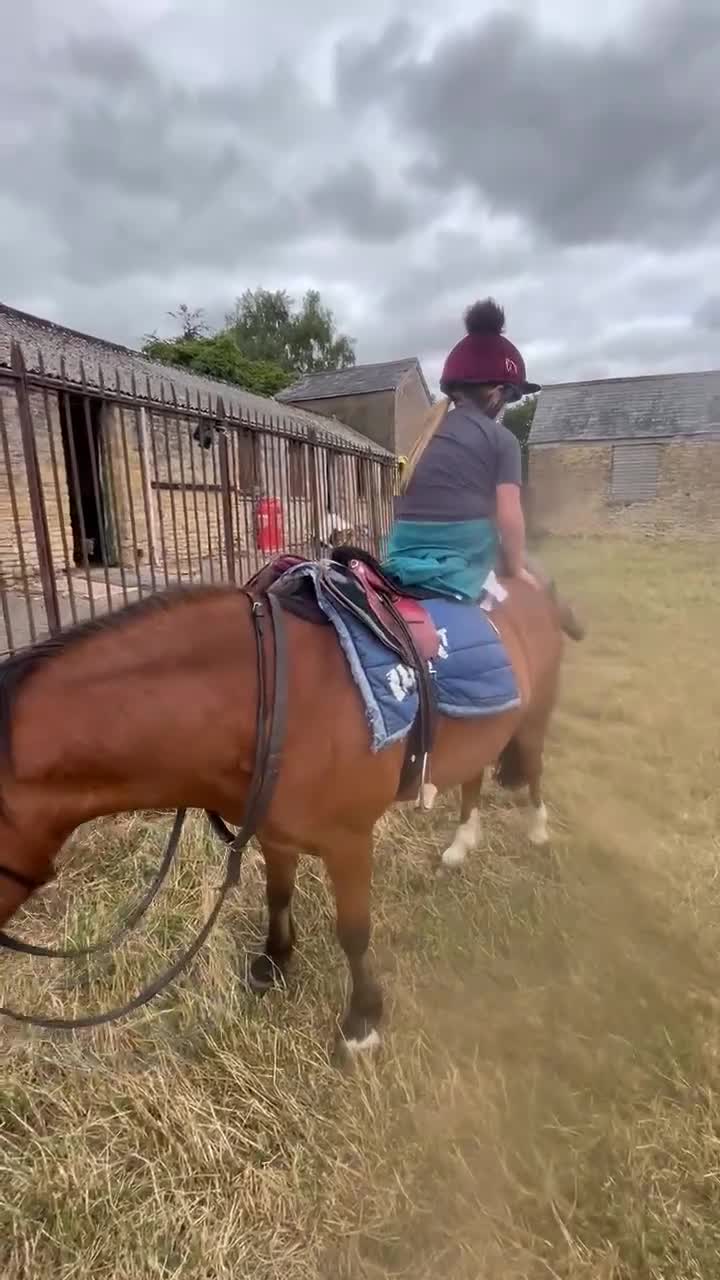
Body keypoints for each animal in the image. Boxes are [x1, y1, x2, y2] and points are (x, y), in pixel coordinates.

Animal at [0, 562, 582, 1053]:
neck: (269, 699)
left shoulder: (349, 842)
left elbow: (354, 930)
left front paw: (362, 1022)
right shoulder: (274, 831)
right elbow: (278, 896)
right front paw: (274, 963)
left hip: (536, 711)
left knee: (532, 768)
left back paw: (537, 832)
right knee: (474, 776)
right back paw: (462, 845)